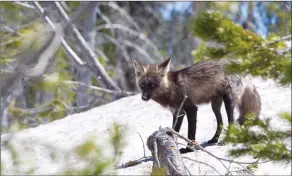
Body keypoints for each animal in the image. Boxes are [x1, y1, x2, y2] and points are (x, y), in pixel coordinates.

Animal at [133, 57, 262, 153]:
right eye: (143, 85)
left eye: (153, 85)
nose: (144, 98)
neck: (172, 88)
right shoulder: (178, 112)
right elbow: (174, 132)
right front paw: (173, 146)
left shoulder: (191, 109)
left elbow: (191, 133)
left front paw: (188, 149)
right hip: (215, 105)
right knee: (220, 123)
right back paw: (214, 140)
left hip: (229, 102)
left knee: (231, 122)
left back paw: (226, 140)